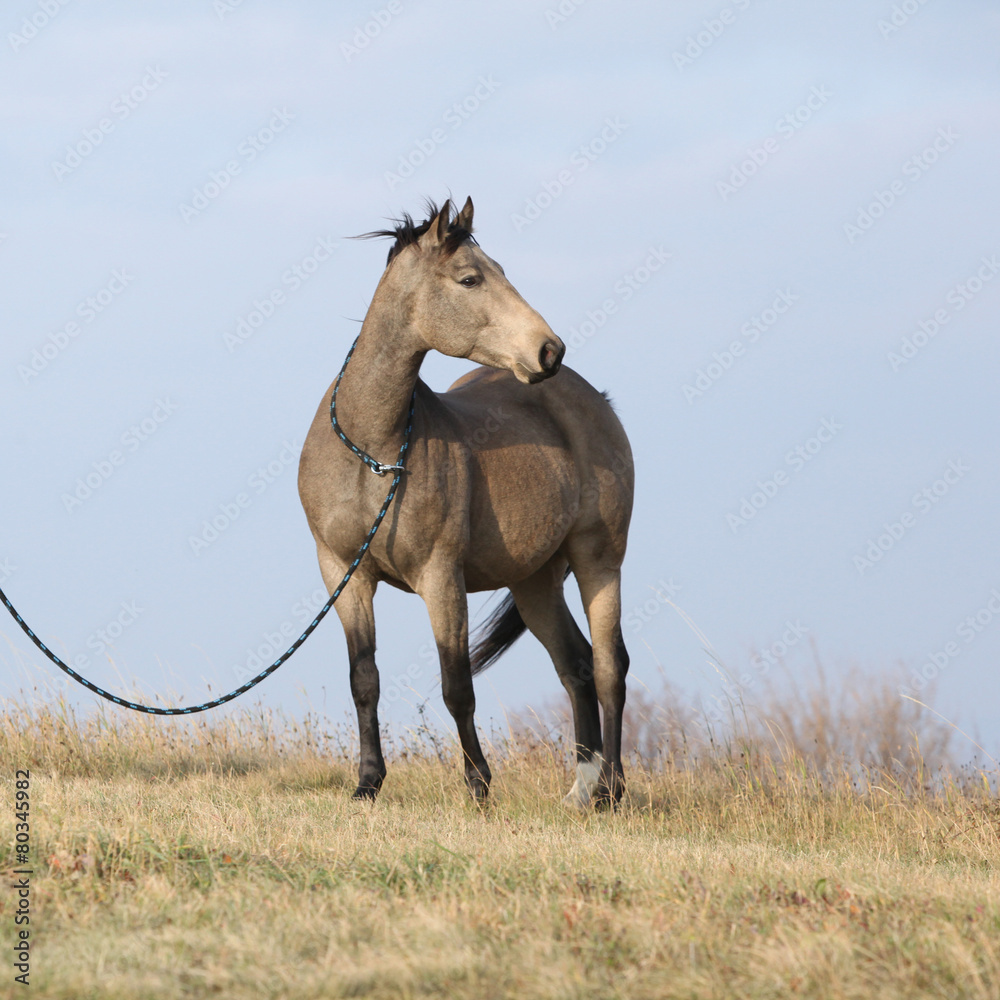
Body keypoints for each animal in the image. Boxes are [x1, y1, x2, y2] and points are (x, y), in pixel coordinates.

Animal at [297, 198, 634, 807]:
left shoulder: (441, 577)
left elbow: (457, 686)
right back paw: (581, 788)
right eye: (470, 278)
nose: (549, 350)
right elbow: (365, 680)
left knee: (607, 667)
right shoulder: (342, 573)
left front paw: (478, 784)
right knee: (574, 666)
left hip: (599, 561)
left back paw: (610, 791)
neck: (374, 453)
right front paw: (367, 784)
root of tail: (593, 398)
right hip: (534, 581)